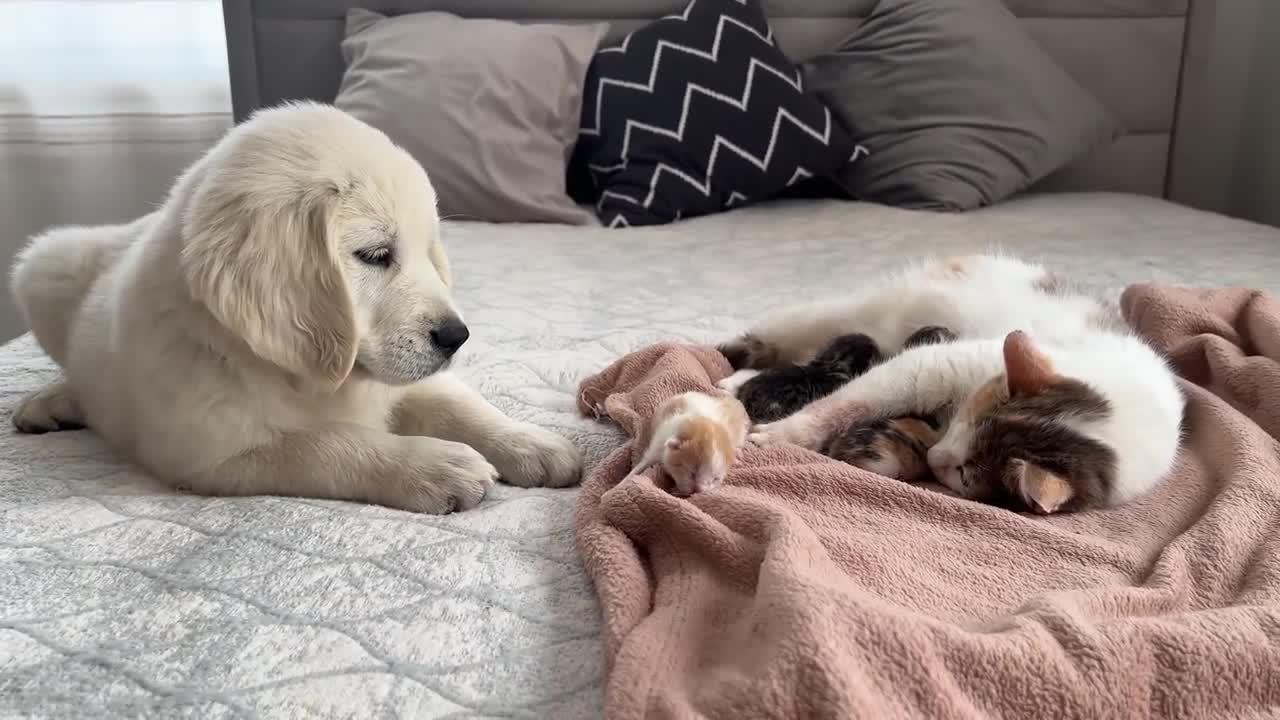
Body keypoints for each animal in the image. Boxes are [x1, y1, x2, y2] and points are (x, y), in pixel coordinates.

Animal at [8, 103, 581, 512]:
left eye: (429, 253)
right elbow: (331, 444)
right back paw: (52, 402)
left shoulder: (407, 380)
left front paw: (532, 444)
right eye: (375, 255)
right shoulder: (218, 450)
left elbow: (460, 405)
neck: (304, 374)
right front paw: (434, 465)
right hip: (43, 266)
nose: (456, 336)